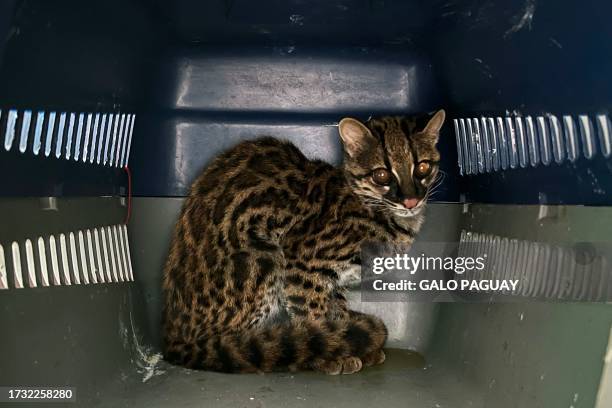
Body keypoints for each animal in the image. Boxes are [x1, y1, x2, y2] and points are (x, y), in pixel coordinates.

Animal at [164, 110, 444, 374]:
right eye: (382, 175)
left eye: (423, 168)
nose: (411, 201)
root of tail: (172, 337)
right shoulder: (302, 265)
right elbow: (312, 314)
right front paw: (331, 352)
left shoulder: (333, 283)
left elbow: (337, 311)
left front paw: (349, 340)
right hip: (265, 256)